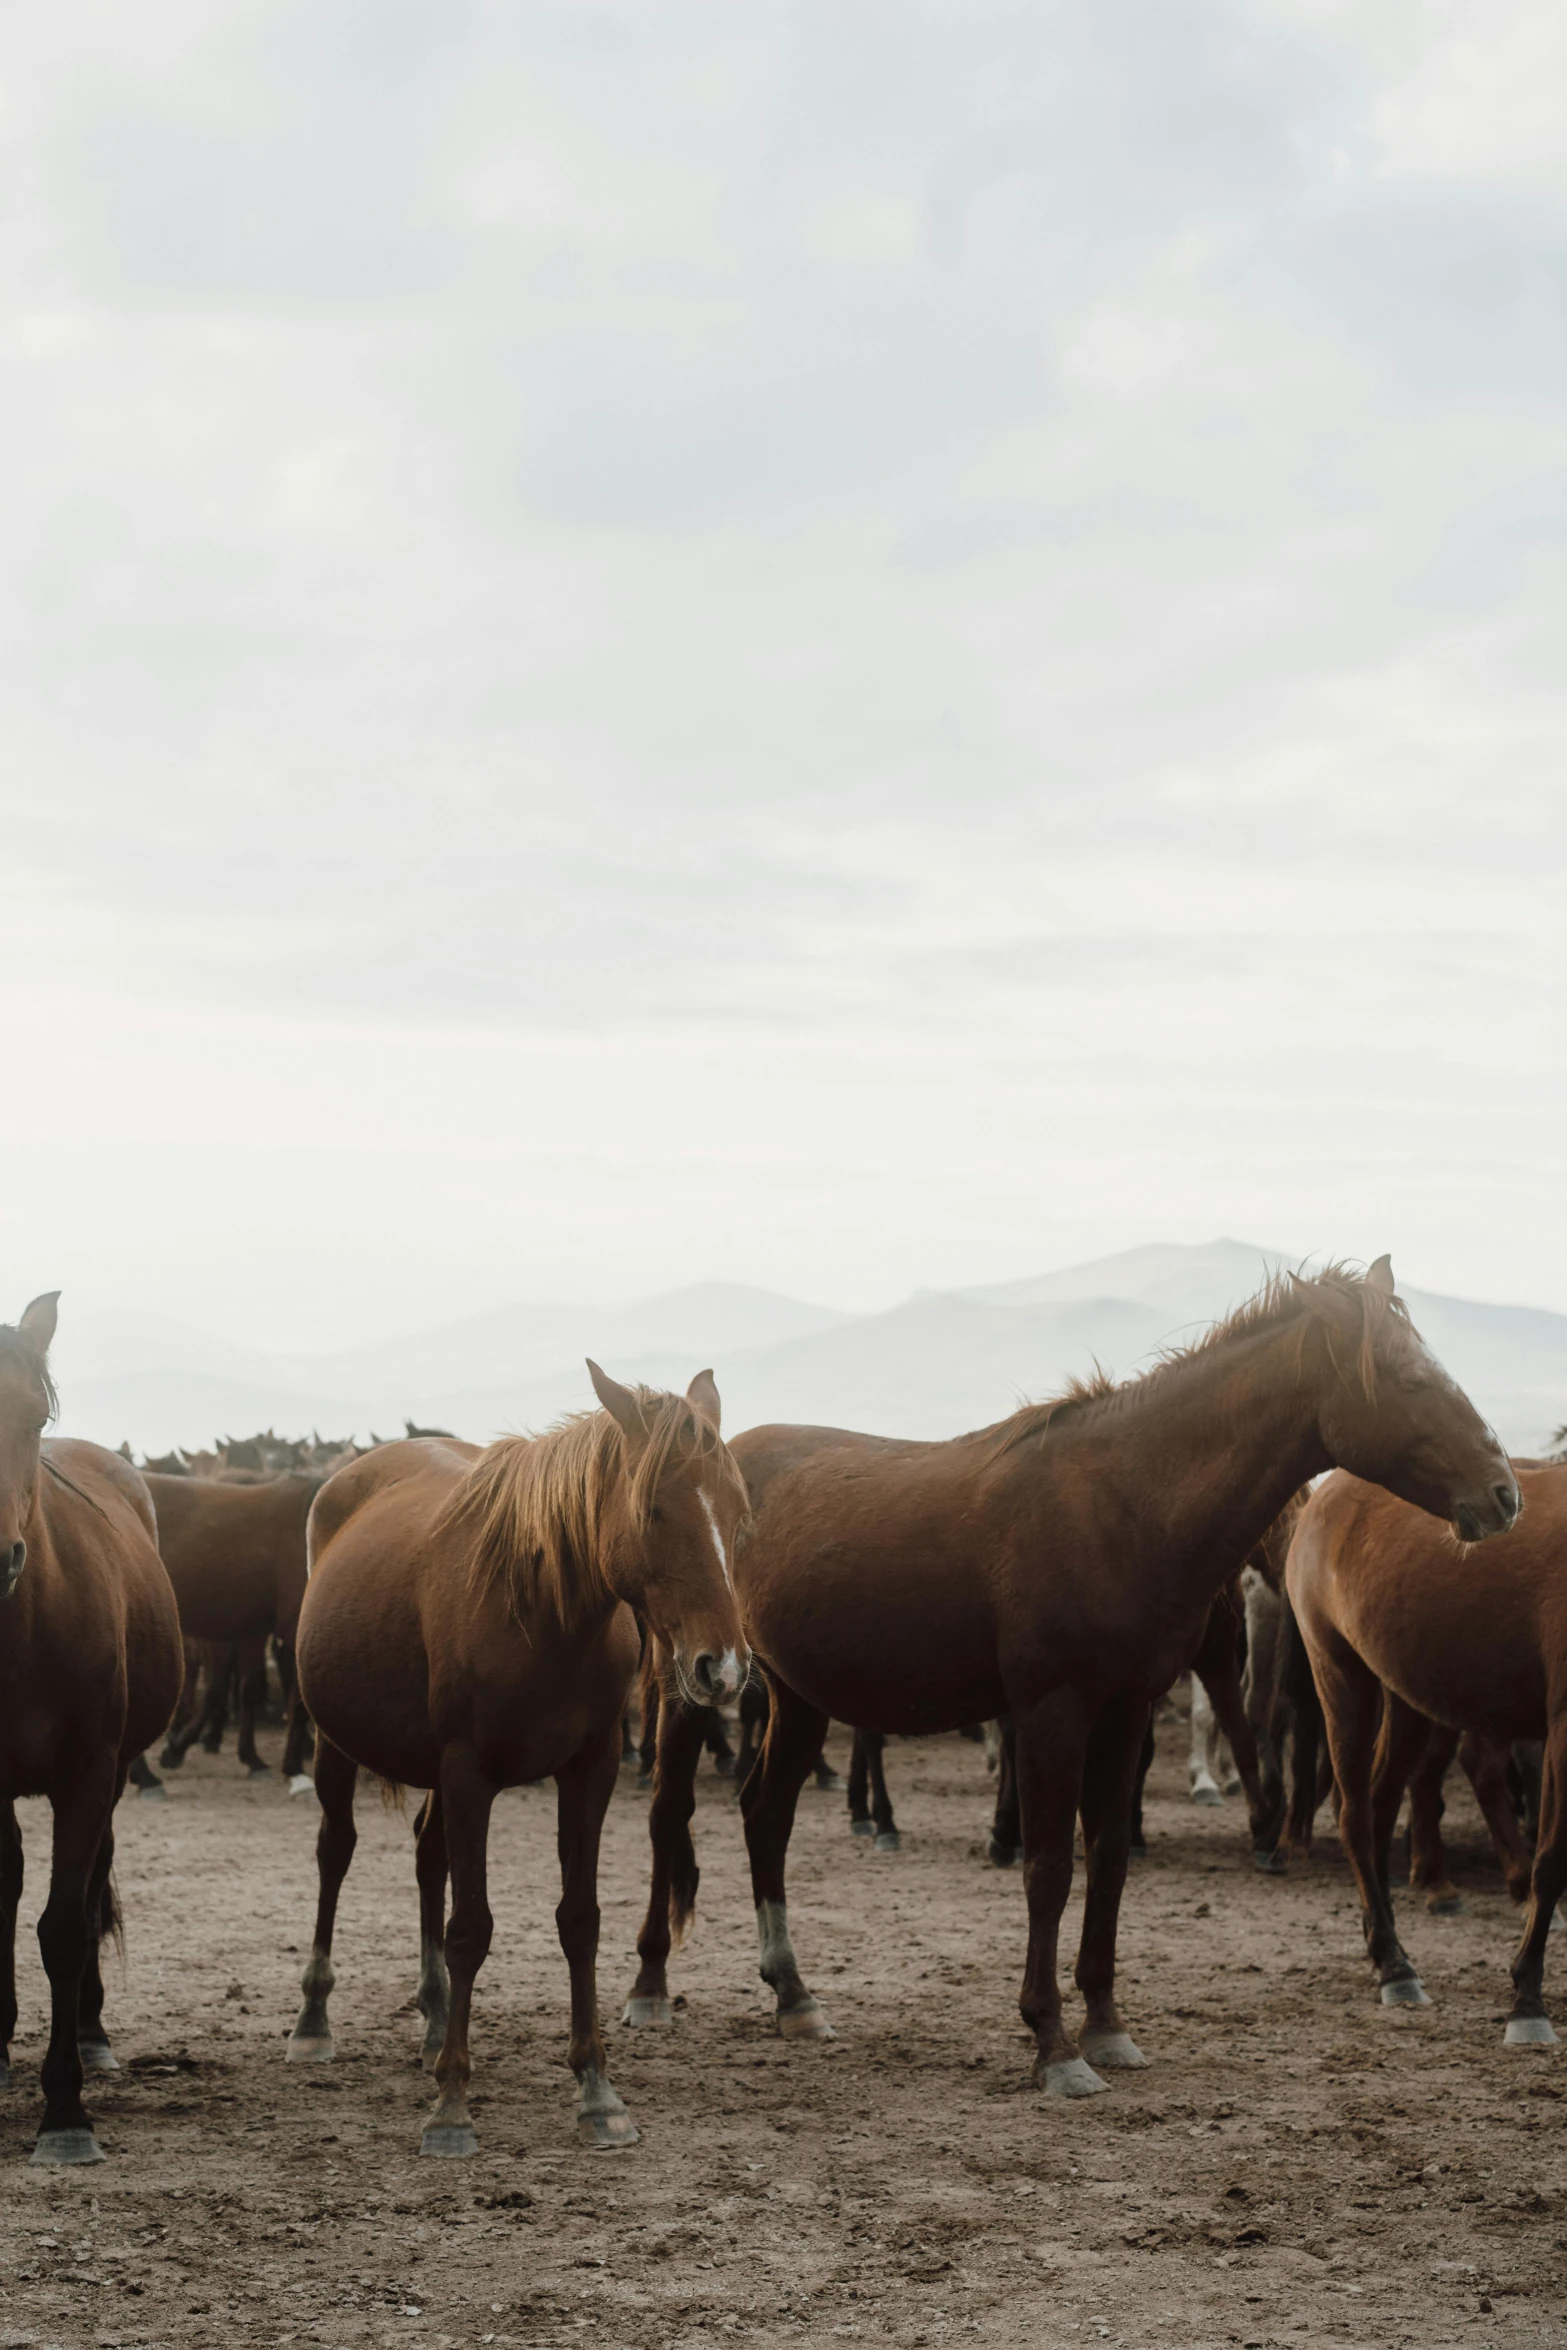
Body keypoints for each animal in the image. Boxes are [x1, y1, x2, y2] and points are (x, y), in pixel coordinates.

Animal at [291, 1372, 751, 2152]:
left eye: (736, 1510)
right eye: (654, 1511)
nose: (721, 1668)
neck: (541, 1611)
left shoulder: (590, 1771)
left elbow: (579, 1919)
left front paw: (596, 2090)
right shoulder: (469, 1774)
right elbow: (471, 1928)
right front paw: (452, 2104)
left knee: (427, 1857)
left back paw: (435, 2017)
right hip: (335, 1745)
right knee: (334, 1852)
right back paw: (314, 2019)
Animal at [624, 1259, 1522, 2105]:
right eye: (1407, 1380)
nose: (1503, 1493)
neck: (1126, 1502)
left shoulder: (1123, 1710)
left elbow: (1110, 1859)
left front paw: (1106, 2026)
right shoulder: (1052, 1712)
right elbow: (1049, 1867)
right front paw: (1052, 2044)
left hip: (800, 1695)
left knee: (765, 1817)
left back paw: (794, 1995)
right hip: (695, 1684)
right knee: (669, 1817)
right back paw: (649, 1988)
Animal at [1287, 1447, 1567, 2039]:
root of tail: (1326, 1494)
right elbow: (1551, 1859)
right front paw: (1528, 2000)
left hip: (1407, 1697)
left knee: (1381, 1802)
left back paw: (1385, 1942)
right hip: (1341, 1676)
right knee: (1355, 1814)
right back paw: (1396, 1966)